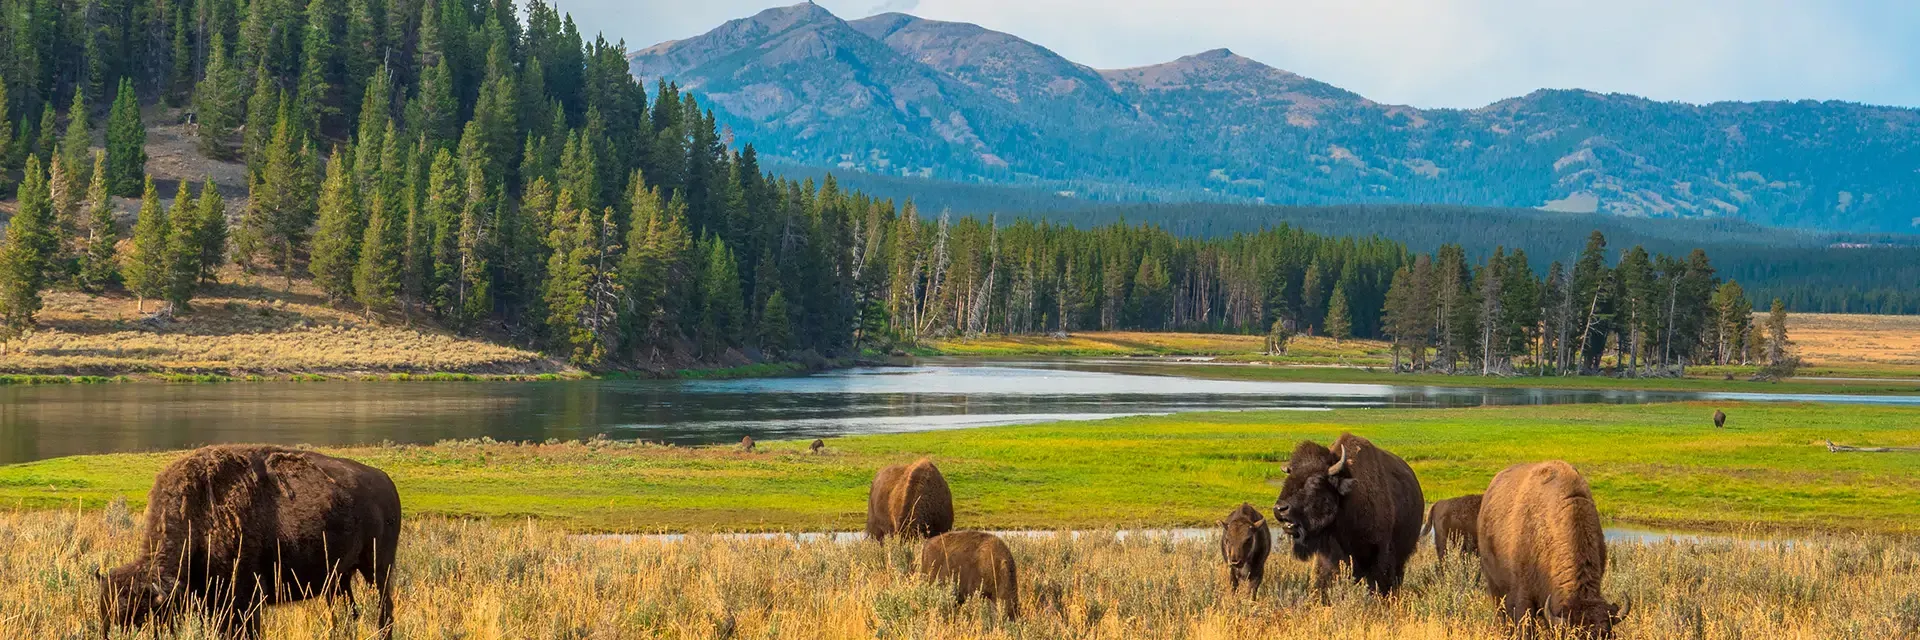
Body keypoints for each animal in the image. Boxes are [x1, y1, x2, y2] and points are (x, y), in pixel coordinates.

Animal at [97, 445, 402, 639]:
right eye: (104, 614)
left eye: (140, 617)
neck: (200, 514)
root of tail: (385, 480)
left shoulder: (246, 599)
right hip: (339, 578)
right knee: (349, 612)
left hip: (377, 569)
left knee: (383, 610)